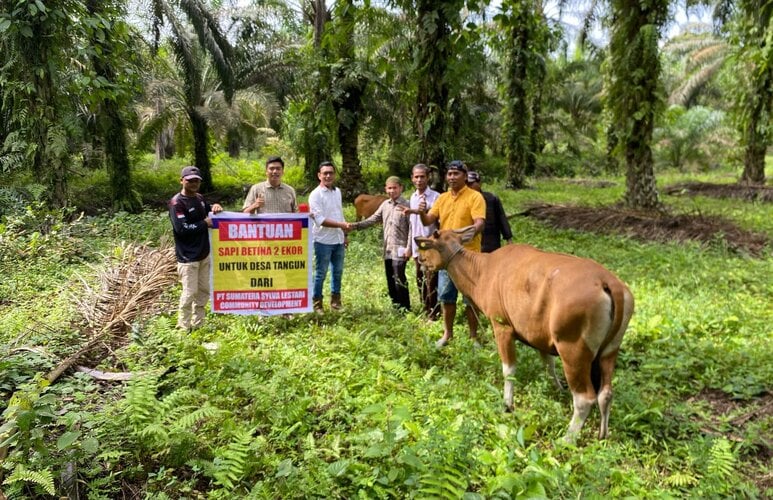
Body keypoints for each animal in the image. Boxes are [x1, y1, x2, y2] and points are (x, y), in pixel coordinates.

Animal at [416, 227, 632, 442]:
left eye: (430, 241)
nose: (420, 260)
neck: (482, 271)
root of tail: (609, 282)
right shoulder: (541, 338)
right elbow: (549, 366)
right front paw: (558, 390)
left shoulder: (502, 327)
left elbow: (509, 370)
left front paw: (507, 404)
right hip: (610, 351)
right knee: (605, 393)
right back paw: (603, 434)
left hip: (573, 350)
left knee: (585, 398)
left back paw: (567, 439)